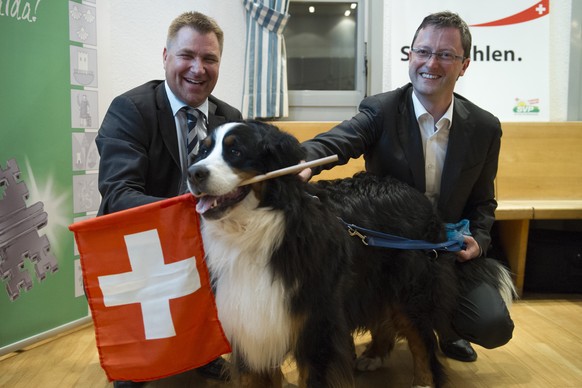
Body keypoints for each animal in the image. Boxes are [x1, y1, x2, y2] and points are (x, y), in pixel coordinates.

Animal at [189, 119, 516, 386]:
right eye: (202, 152)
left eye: (235, 151)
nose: (193, 173)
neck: (253, 232)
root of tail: (418, 195)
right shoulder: (250, 326)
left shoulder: (317, 330)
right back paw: (374, 354)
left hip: (411, 291)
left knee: (421, 342)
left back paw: (422, 381)